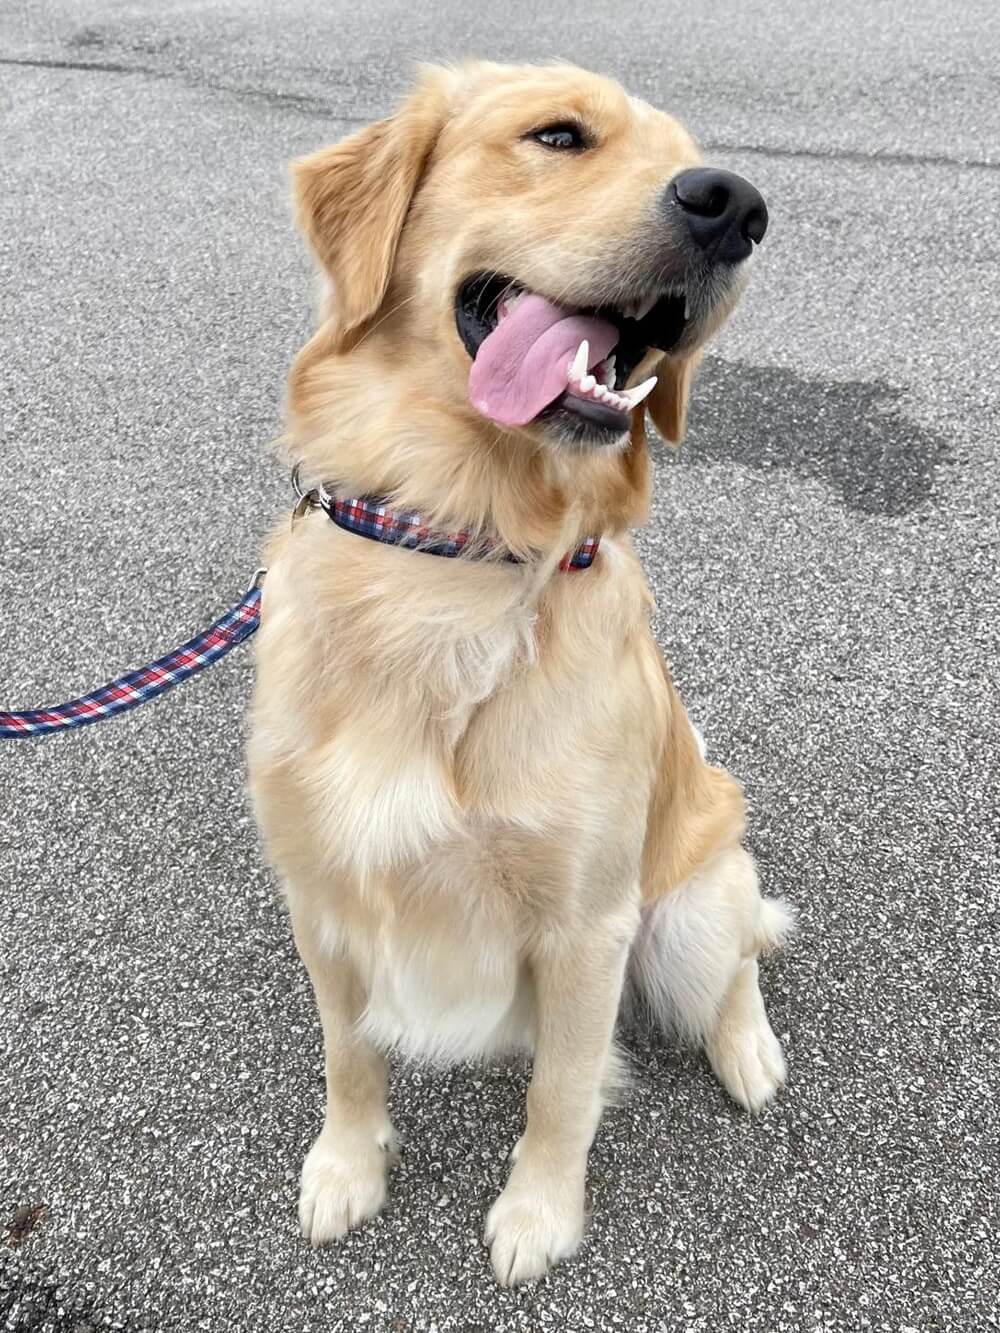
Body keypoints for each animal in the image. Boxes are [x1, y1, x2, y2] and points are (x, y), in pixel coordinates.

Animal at [250, 59, 800, 1279]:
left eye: (695, 161)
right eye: (558, 136)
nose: (737, 207)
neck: (459, 549)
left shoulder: (586, 926)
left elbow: (561, 1091)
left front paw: (538, 1216)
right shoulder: (321, 890)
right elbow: (346, 1053)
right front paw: (345, 1167)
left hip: (687, 912)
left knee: (740, 957)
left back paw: (750, 1052)